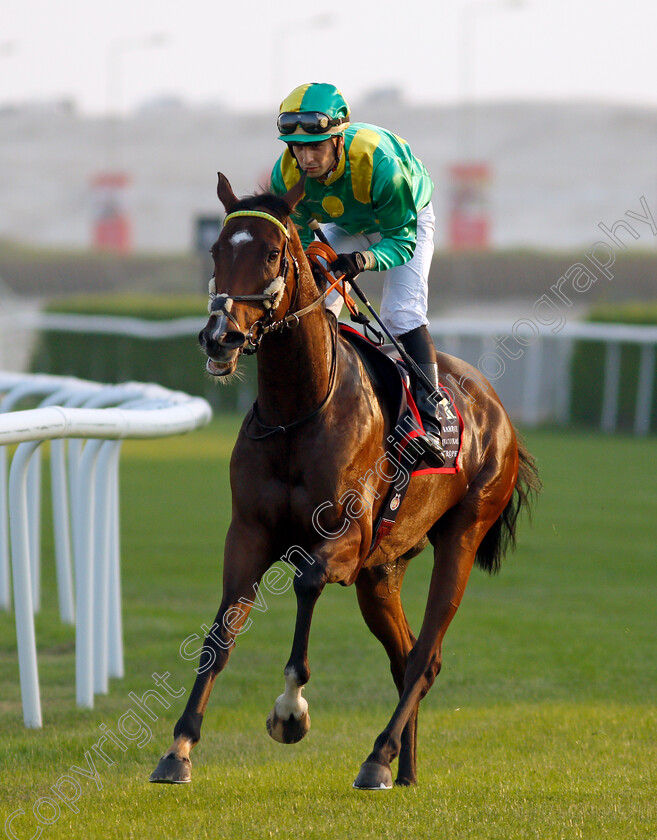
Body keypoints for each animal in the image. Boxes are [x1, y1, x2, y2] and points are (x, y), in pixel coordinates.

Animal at [150, 174, 540, 792]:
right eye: (215, 251)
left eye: (271, 252)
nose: (220, 337)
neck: (298, 410)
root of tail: (499, 412)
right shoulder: (249, 534)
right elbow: (219, 634)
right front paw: (179, 748)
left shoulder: (347, 540)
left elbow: (307, 582)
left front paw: (290, 712)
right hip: (383, 571)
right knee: (406, 656)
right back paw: (403, 771)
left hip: (460, 535)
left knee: (425, 657)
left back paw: (378, 757)